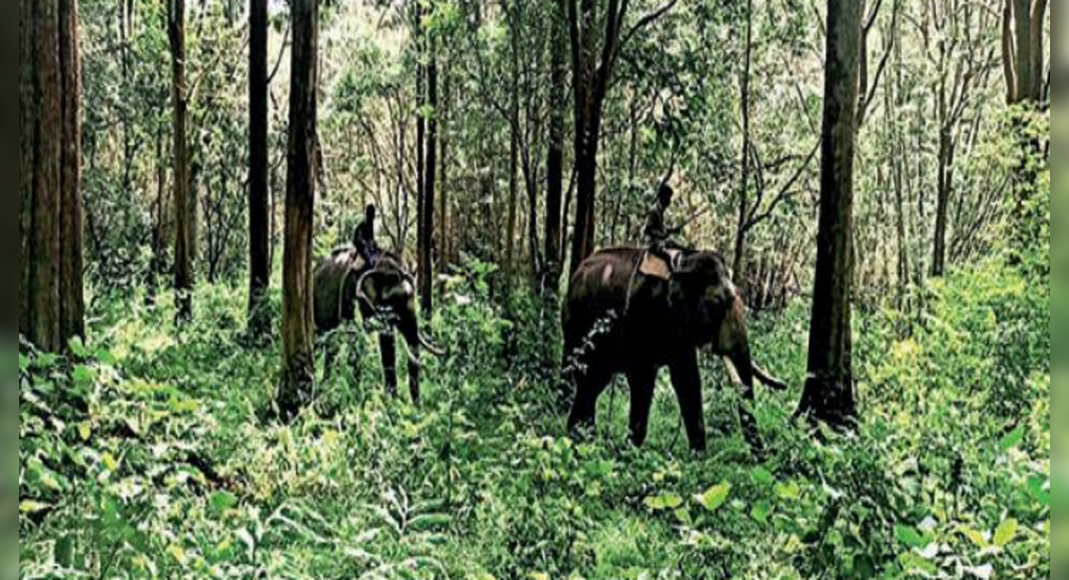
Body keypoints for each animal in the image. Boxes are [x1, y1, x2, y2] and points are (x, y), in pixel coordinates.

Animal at [313, 246, 443, 403]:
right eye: (396, 300)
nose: (417, 405)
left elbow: (387, 343)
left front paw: (392, 401)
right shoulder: (349, 295)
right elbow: (354, 339)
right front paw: (358, 394)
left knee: (331, 348)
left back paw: (324, 386)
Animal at [562, 248, 787, 456]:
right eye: (716, 304)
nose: (770, 453)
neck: (685, 260)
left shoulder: (681, 329)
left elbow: (687, 380)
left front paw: (699, 456)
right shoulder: (644, 315)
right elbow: (643, 379)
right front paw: (631, 450)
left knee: (595, 381)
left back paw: (583, 437)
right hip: (579, 327)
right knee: (587, 377)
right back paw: (580, 438)